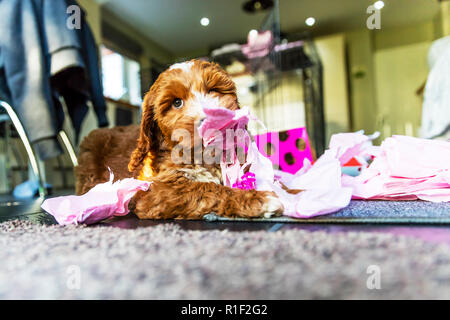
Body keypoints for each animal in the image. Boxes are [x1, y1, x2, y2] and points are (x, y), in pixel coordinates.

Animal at [75, 59, 284, 220]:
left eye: (212, 90)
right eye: (177, 103)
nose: (212, 120)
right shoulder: (155, 193)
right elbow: (204, 189)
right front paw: (258, 200)